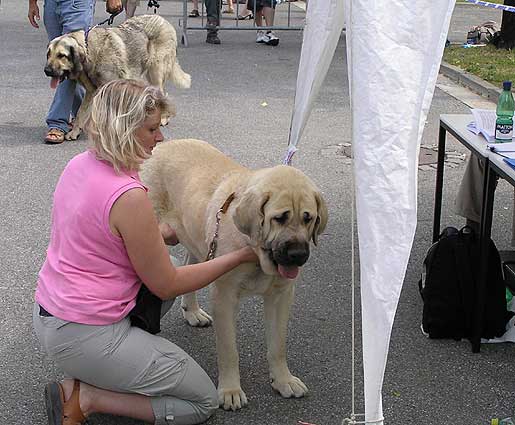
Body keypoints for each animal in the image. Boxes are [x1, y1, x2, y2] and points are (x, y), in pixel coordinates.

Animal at [44, 14, 191, 139]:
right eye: (48, 54)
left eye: (61, 55)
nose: (47, 70)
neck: (90, 50)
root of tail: (164, 20)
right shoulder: (92, 91)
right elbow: (81, 112)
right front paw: (75, 131)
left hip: (156, 71)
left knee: (162, 92)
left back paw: (163, 117)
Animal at [140, 137, 326, 410]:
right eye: (280, 218)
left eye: (308, 218)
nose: (298, 255)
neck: (256, 252)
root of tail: (162, 145)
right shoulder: (224, 298)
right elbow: (229, 350)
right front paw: (230, 390)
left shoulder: (281, 297)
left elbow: (278, 345)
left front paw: (283, 380)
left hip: (196, 238)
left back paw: (192, 311)